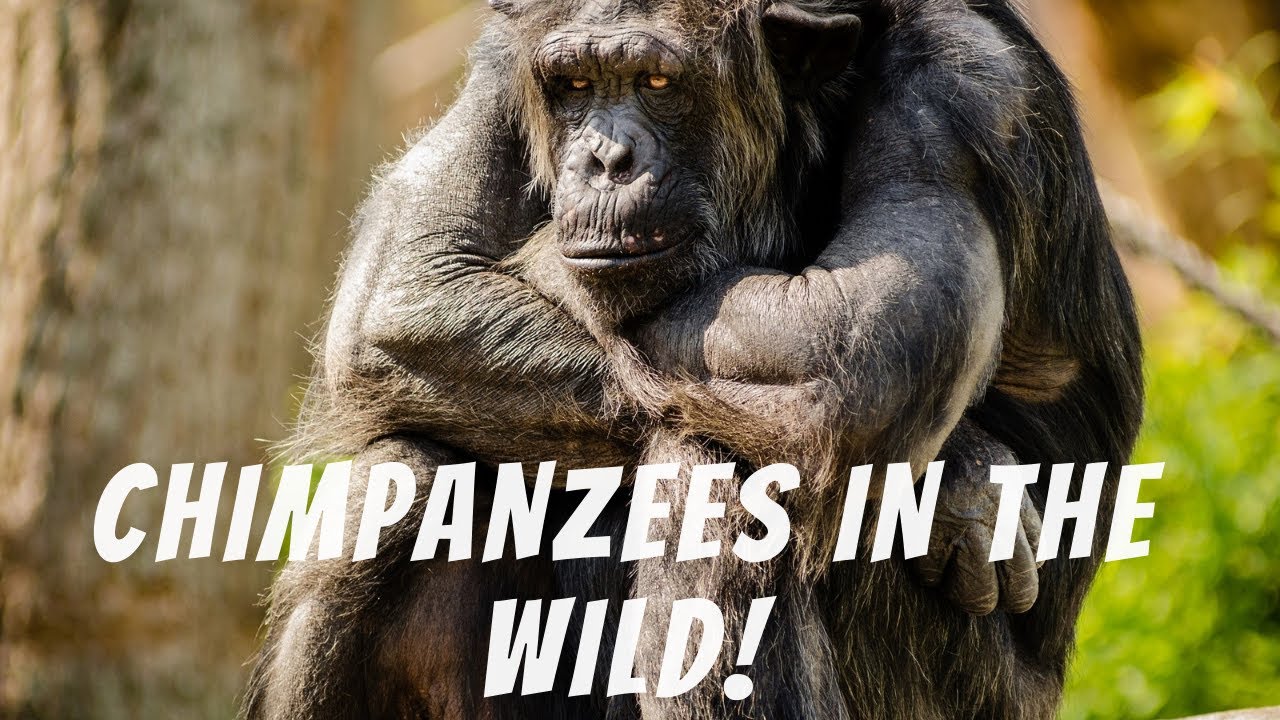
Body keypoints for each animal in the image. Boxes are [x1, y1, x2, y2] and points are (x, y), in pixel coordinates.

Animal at [242, 1, 1143, 719]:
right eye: (574, 86)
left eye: (656, 81)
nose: (603, 158)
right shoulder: (503, 62)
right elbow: (409, 285)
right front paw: (969, 481)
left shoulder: (962, 89)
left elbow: (857, 346)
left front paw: (968, 480)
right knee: (405, 478)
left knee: (717, 467)